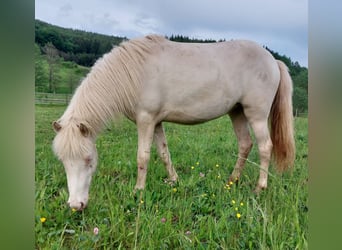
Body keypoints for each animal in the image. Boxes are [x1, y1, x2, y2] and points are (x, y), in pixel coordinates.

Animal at [52, 34, 296, 211]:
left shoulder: (146, 120)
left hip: (256, 115)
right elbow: (163, 153)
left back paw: (259, 187)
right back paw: (232, 180)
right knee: (245, 144)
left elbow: (143, 157)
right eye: (63, 160)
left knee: (265, 147)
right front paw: (173, 181)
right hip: (236, 112)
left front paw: (138, 190)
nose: (76, 205)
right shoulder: (156, 122)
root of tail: (273, 60)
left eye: (88, 159)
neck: (133, 73)